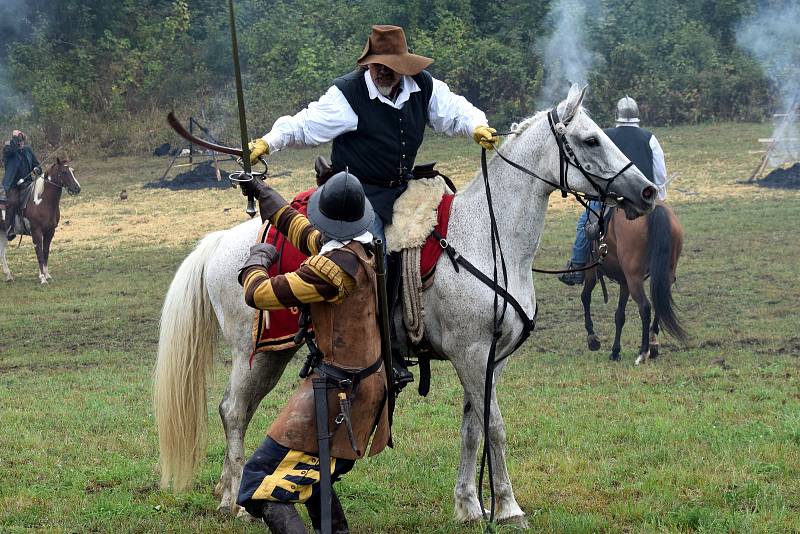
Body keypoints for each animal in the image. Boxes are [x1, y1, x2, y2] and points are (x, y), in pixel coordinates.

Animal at [580, 203, 688, 366]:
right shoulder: (624, 282)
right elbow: (619, 315)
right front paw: (615, 351)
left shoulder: (592, 270)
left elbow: (585, 297)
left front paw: (592, 338)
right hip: (664, 275)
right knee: (659, 303)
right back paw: (653, 346)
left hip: (634, 278)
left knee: (645, 307)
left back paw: (643, 352)